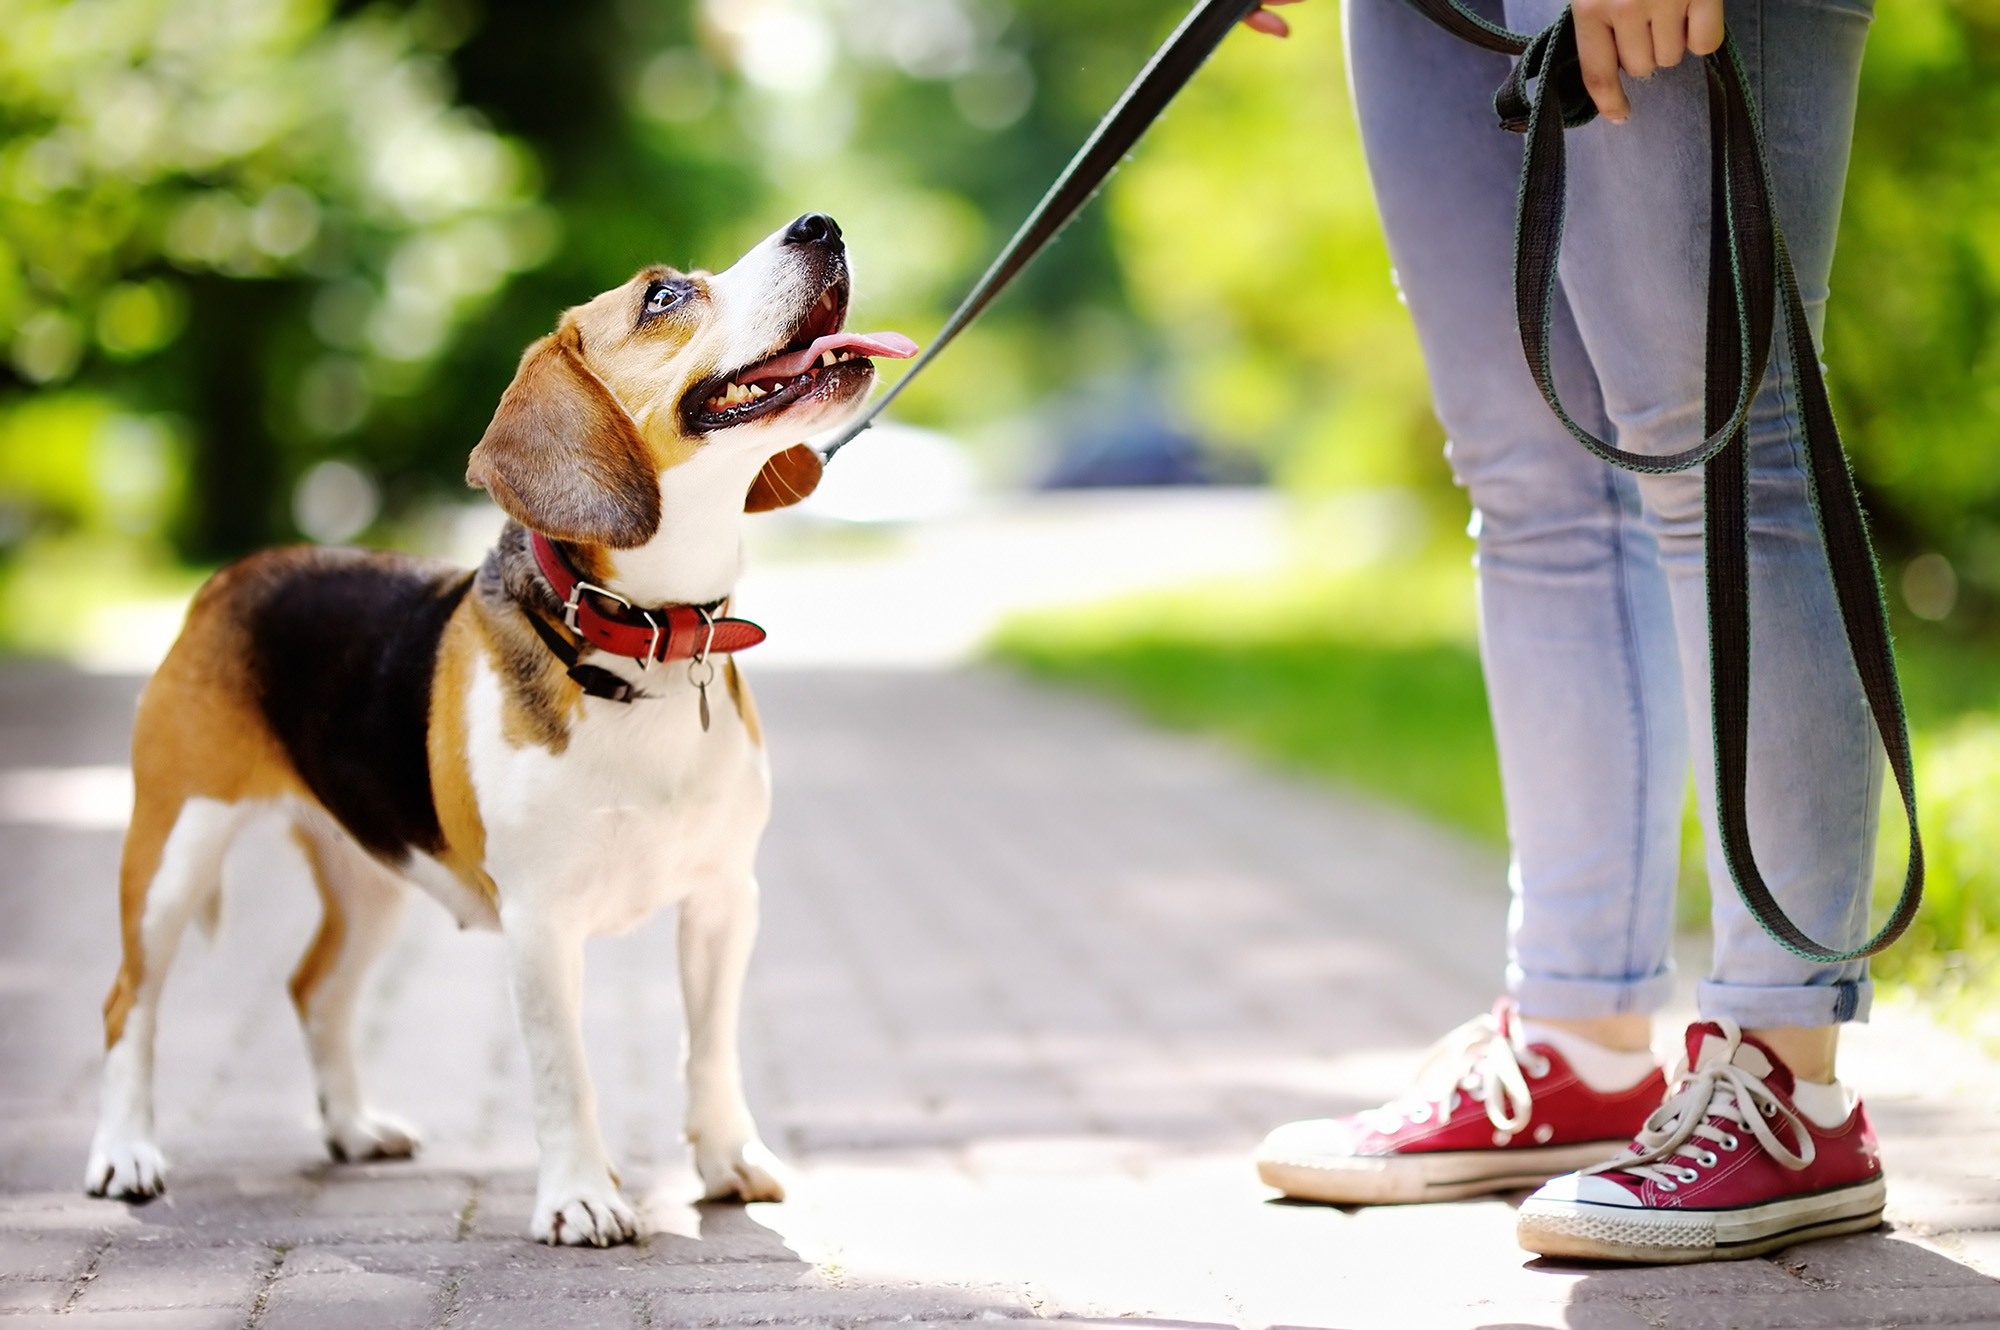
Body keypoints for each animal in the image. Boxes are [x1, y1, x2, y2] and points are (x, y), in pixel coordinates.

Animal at [84, 213, 916, 1240]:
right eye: (663, 296)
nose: (820, 224)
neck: (643, 641)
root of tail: (235, 574)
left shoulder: (725, 899)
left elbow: (711, 1048)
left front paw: (728, 1160)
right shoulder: (541, 921)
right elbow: (566, 1073)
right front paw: (583, 1196)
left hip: (373, 875)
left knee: (315, 991)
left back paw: (352, 1128)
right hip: (173, 851)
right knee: (128, 1003)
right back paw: (124, 1154)